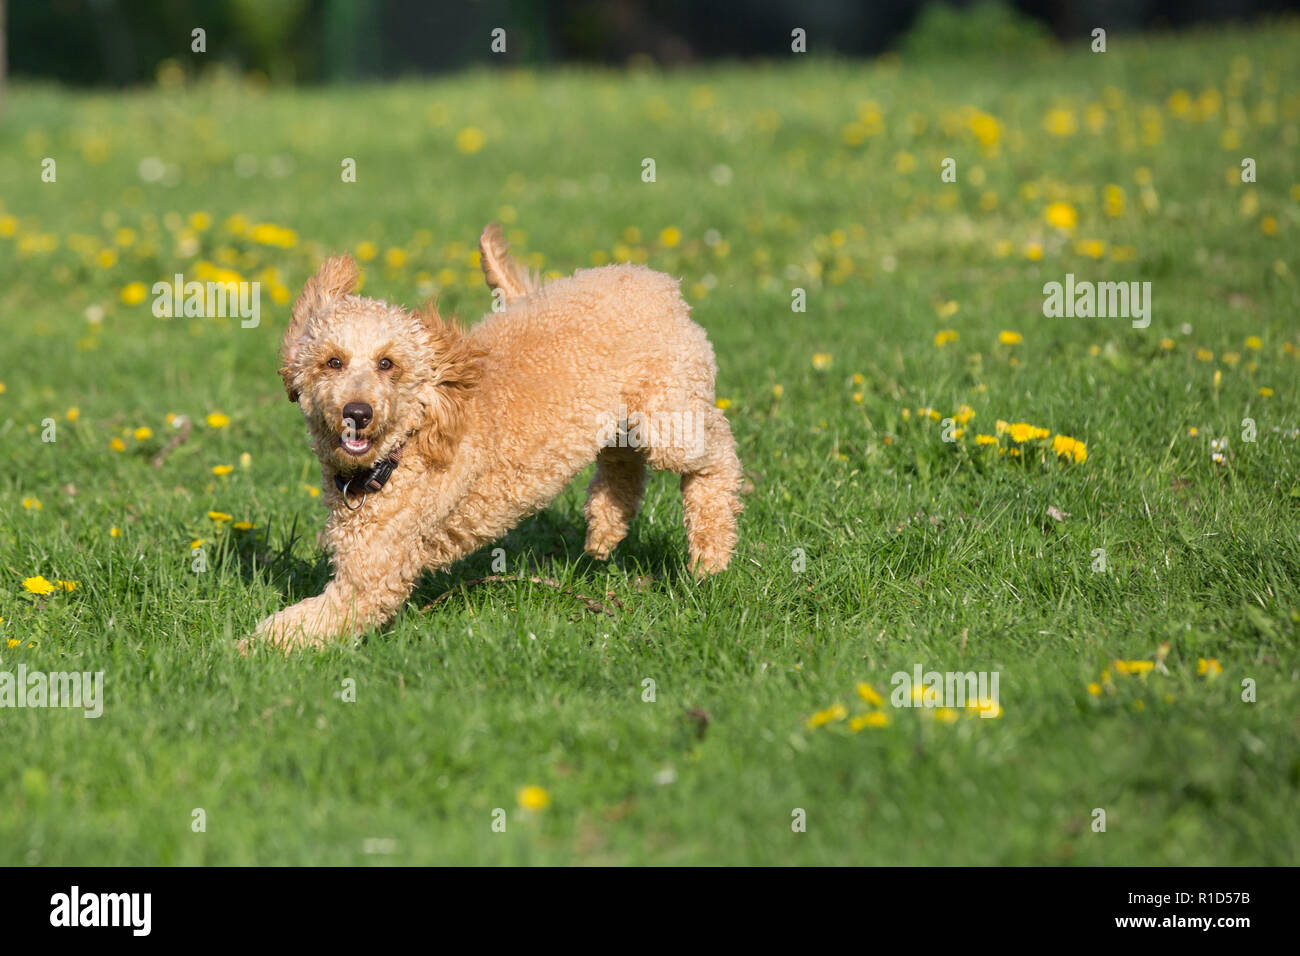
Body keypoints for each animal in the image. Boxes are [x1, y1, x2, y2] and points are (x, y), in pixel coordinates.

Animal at [244, 226, 743, 650]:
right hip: (620, 416)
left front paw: (242, 655)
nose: (358, 413)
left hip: (670, 413)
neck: (403, 449)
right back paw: (605, 528)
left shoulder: (371, 577)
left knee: (717, 456)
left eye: (387, 363)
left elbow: (305, 624)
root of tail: (655, 280)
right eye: (332, 362)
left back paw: (710, 556)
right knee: (622, 463)